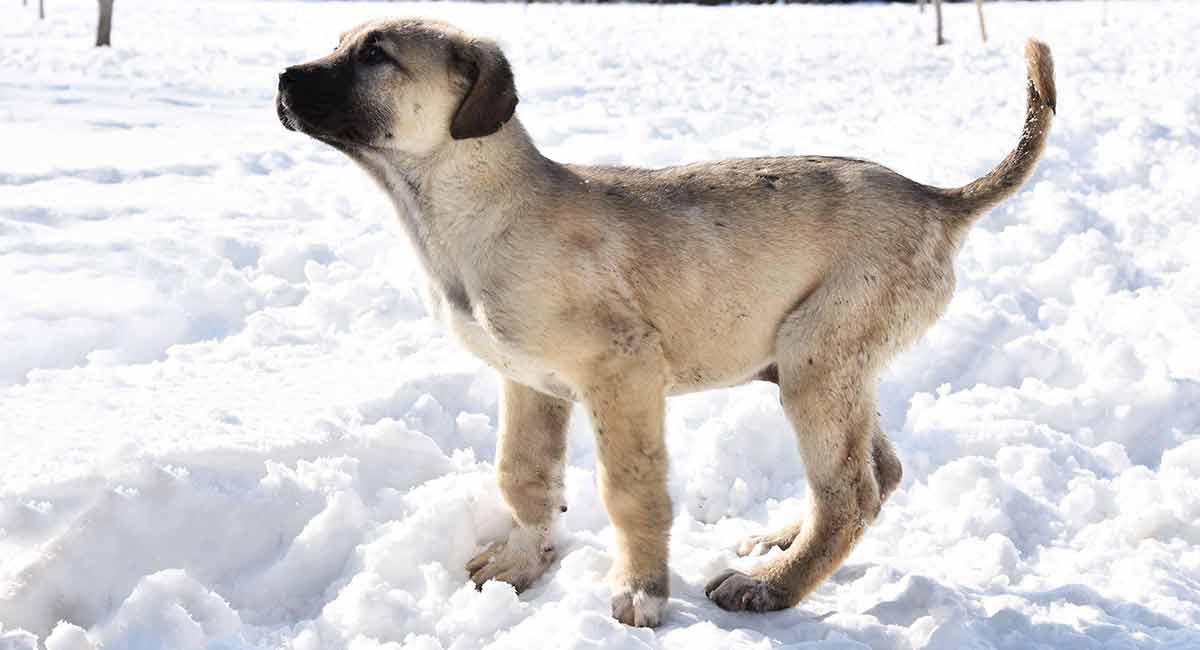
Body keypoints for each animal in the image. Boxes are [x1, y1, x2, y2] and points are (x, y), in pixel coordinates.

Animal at [276, 20, 1056, 628]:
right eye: (341, 42)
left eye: (376, 55)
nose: (282, 78)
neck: (462, 209)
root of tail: (937, 200)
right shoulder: (530, 383)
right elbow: (524, 476)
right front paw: (522, 563)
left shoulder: (623, 372)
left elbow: (631, 493)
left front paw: (641, 593)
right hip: (821, 366)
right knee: (877, 473)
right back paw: (780, 546)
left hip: (819, 356)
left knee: (849, 492)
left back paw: (771, 588)